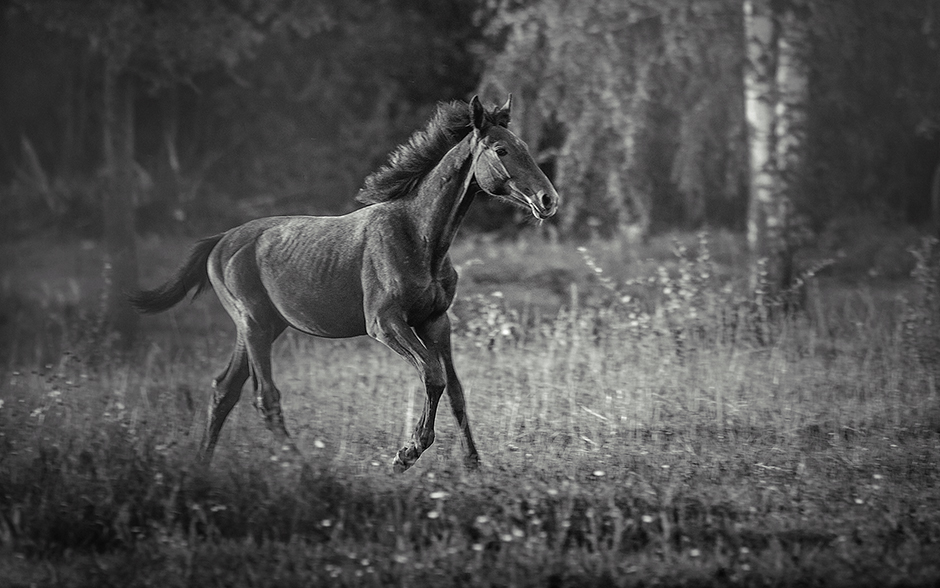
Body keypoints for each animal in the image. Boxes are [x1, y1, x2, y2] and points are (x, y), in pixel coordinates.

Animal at [130, 96, 560, 474]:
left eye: (523, 147)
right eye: (501, 149)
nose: (548, 199)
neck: (419, 237)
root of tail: (219, 241)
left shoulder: (437, 322)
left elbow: (455, 389)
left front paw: (473, 465)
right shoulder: (384, 323)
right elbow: (432, 375)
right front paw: (406, 454)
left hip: (262, 327)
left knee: (224, 390)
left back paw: (201, 467)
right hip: (253, 323)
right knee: (264, 397)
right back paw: (305, 470)